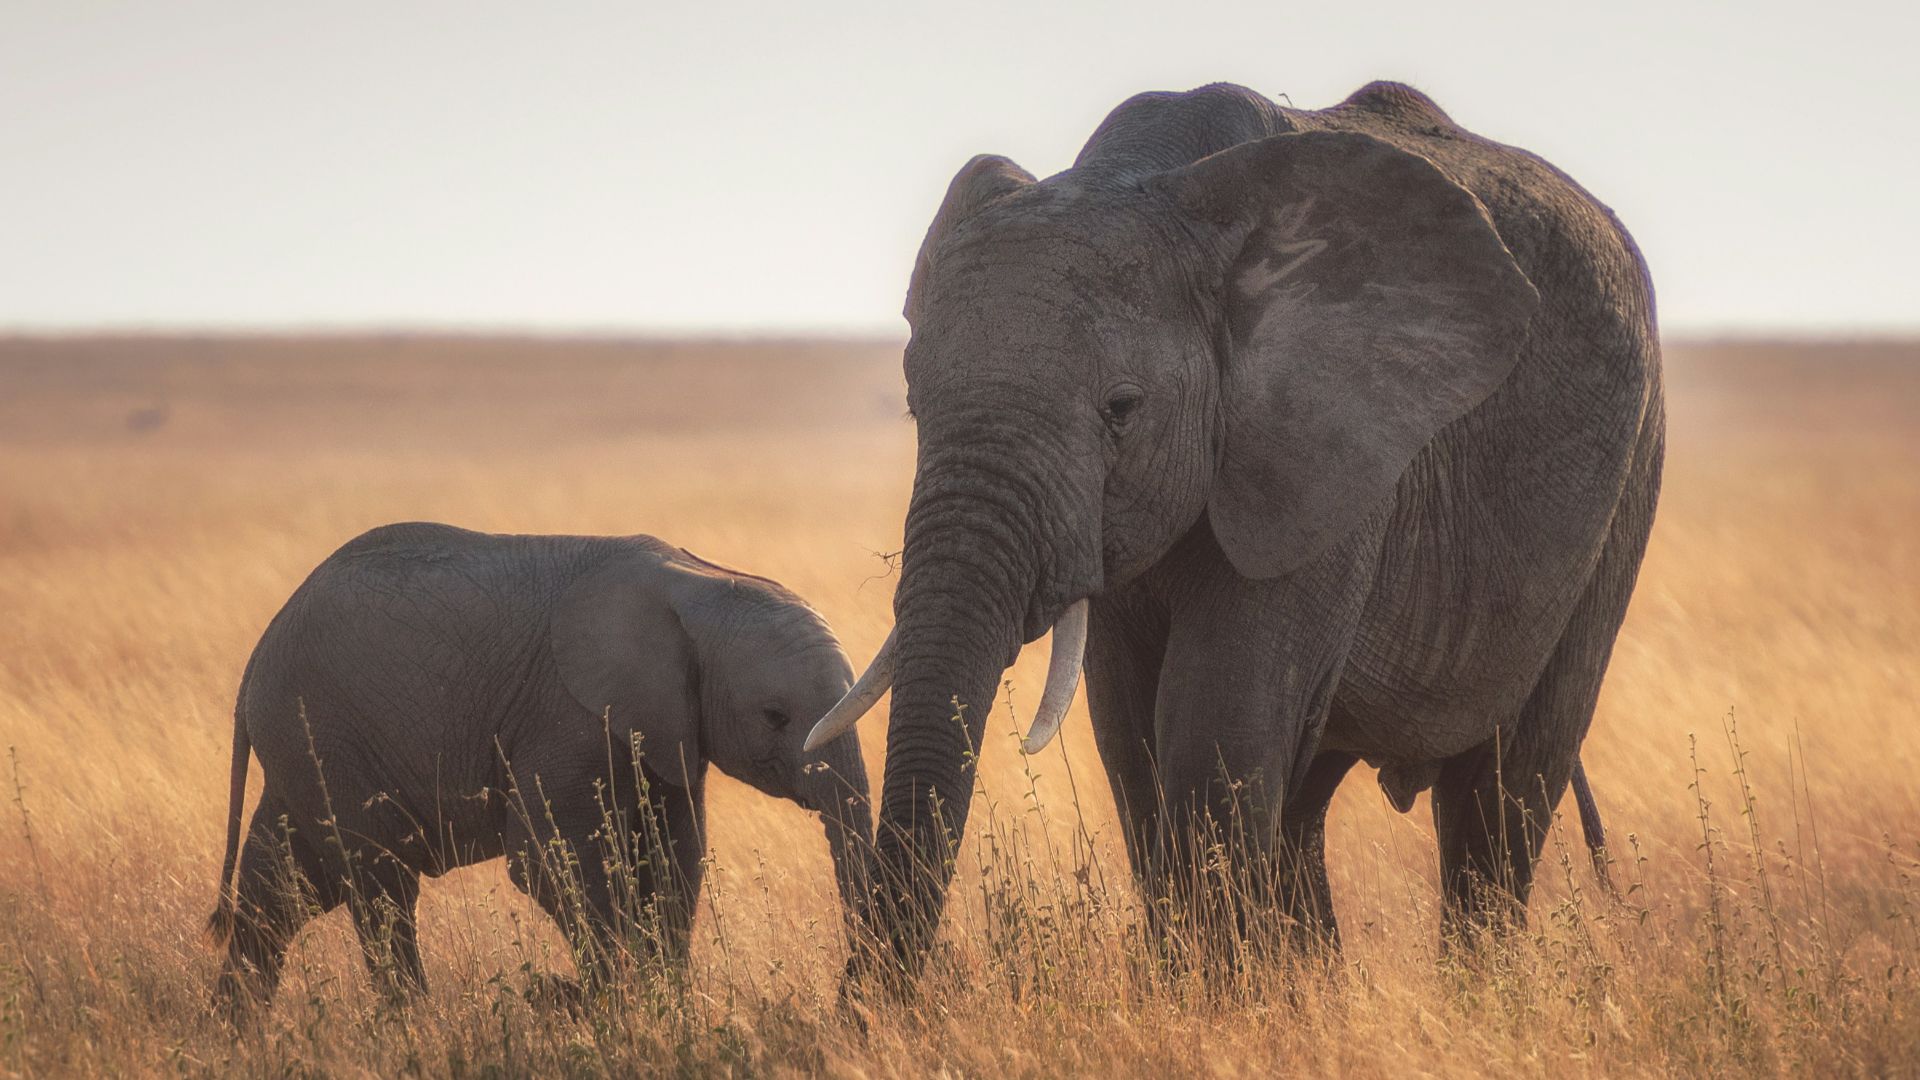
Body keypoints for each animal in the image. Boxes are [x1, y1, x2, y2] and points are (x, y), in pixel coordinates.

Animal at [206, 522, 872, 1011]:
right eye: (775, 716)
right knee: (380, 885)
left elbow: (673, 861)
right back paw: (415, 1026)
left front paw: (665, 1007)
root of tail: (254, 661)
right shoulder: (564, 715)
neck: (701, 583)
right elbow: (551, 862)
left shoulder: (665, 728)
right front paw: (612, 1007)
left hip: (306, 749)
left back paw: (237, 1032)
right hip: (323, 735)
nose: (850, 999)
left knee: (280, 891)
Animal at [807, 80, 1662, 975]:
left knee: (1503, 790)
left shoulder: (1328, 449)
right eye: (914, 405)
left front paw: (1217, 995)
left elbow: (1215, 728)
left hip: (1629, 477)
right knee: (1307, 803)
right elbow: (1132, 738)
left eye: (1121, 410)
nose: (871, 1002)